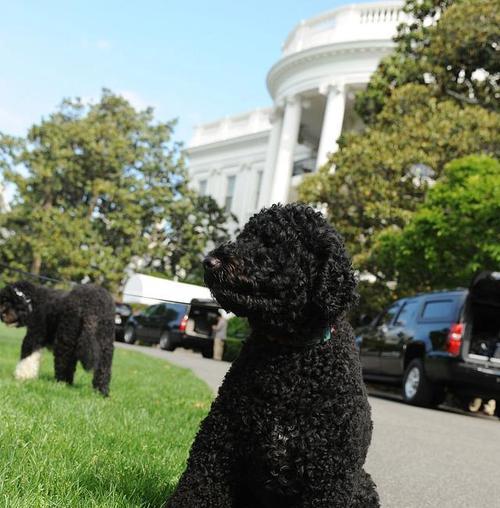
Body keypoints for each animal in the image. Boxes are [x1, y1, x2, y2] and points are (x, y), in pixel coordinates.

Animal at [165, 203, 378, 508]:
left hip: (363, 485)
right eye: (244, 236)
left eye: (271, 242)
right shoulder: (219, 440)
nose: (209, 261)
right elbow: (197, 486)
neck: (287, 357)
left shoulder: (330, 473)